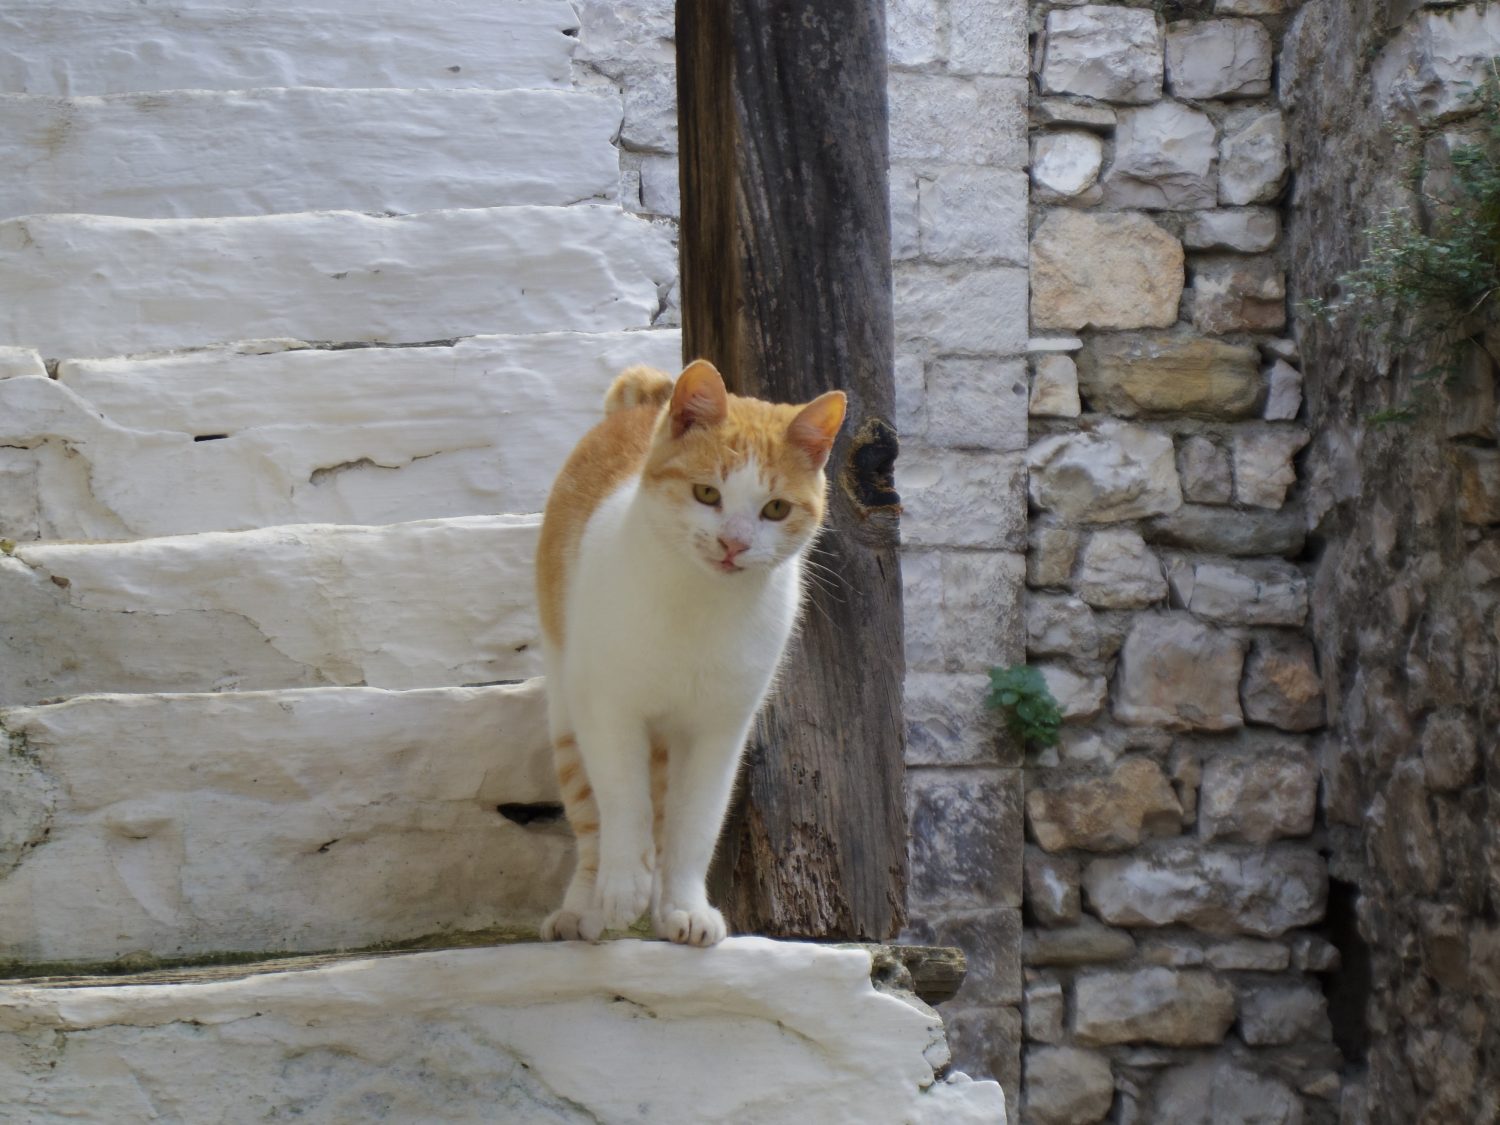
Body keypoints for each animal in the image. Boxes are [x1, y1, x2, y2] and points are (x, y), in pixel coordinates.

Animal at [537, 357, 846, 948]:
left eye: (775, 509)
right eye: (707, 494)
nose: (734, 543)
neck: (701, 603)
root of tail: (650, 400)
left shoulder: (719, 730)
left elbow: (694, 824)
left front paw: (683, 907)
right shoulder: (609, 710)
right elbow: (623, 802)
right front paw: (622, 888)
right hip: (566, 713)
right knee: (590, 821)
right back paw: (584, 910)